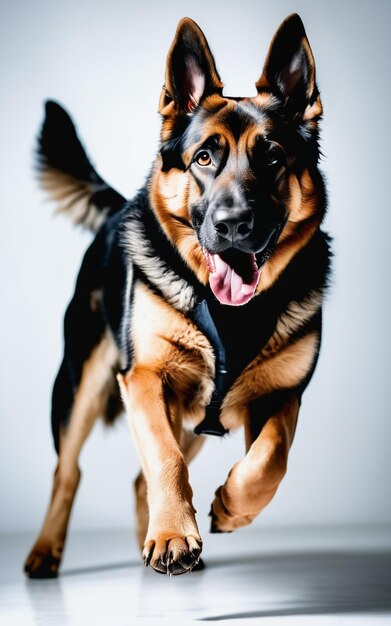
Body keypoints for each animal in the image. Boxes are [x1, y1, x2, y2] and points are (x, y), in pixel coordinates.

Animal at [23, 13, 330, 576]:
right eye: (203, 157)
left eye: (273, 158)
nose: (233, 226)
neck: (231, 315)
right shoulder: (144, 378)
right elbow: (164, 457)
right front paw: (171, 535)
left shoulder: (282, 395)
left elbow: (272, 457)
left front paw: (231, 506)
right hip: (81, 386)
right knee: (69, 471)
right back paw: (47, 550)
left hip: (191, 422)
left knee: (140, 477)